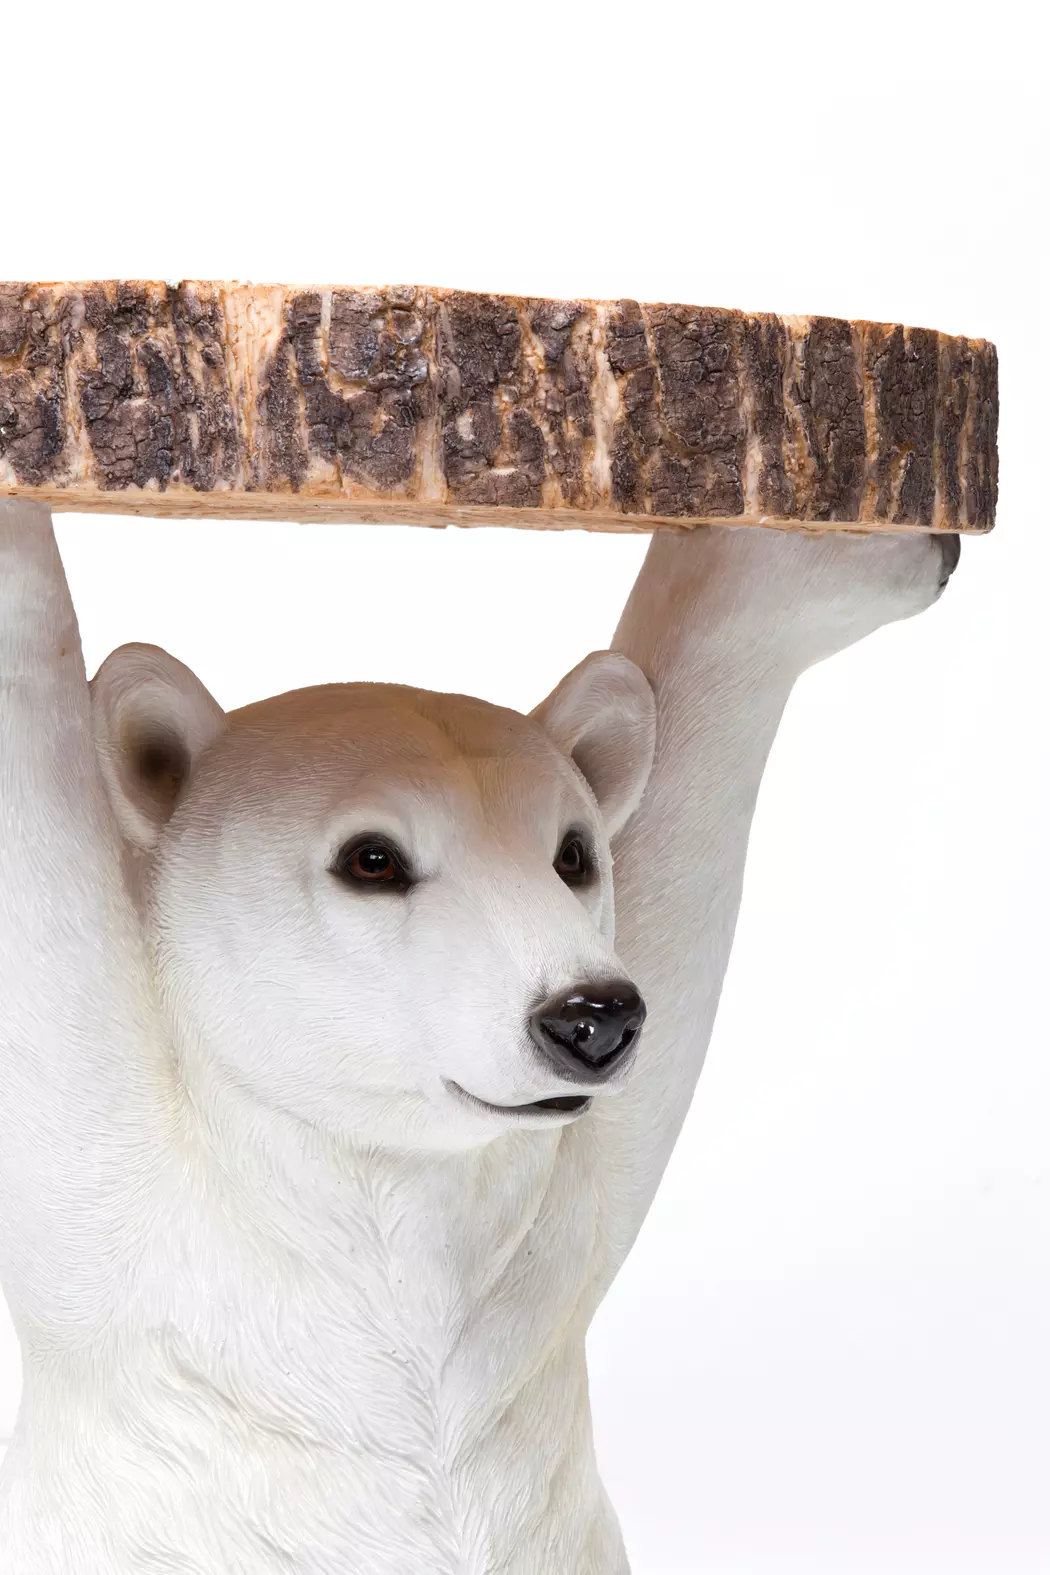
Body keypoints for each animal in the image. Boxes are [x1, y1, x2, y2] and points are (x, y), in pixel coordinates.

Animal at [0, 496, 958, 1573]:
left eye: (574, 853)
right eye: (372, 858)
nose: (592, 1017)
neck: (388, 1184)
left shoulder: (559, 1237)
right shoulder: (126, 1232)